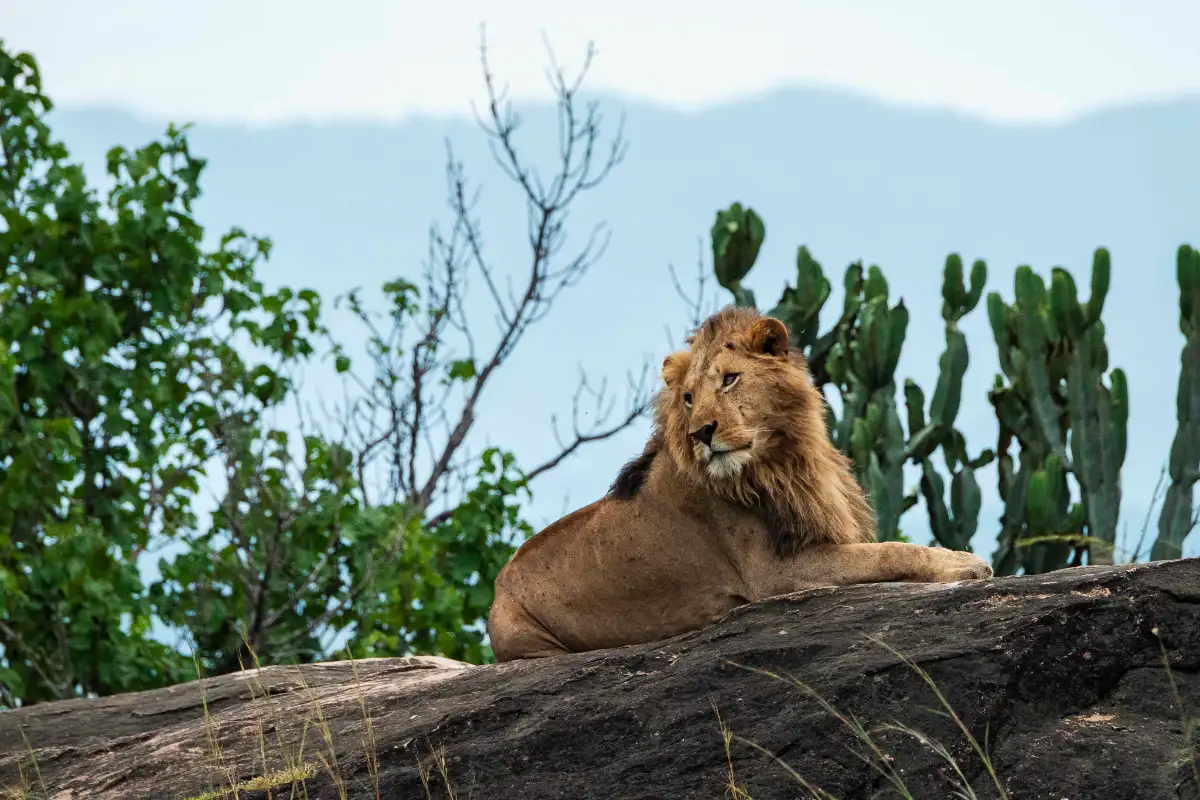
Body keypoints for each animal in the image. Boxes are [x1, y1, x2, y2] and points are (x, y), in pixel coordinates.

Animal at [487, 305, 993, 662]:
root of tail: (497, 588)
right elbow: (890, 552)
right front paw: (961, 563)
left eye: (730, 380)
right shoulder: (773, 575)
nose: (701, 433)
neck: (782, 459)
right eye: (689, 398)